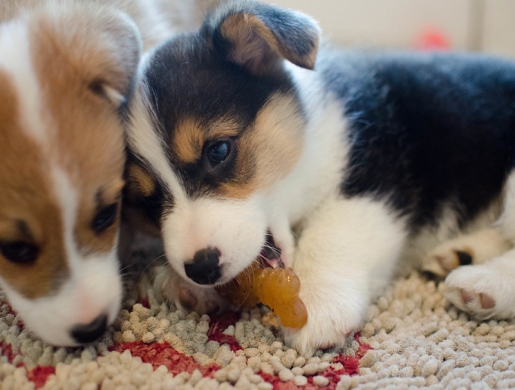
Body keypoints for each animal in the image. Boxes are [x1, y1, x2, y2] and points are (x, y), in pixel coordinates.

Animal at [126, 0, 515, 356]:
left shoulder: (374, 177)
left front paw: (316, 305)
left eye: (218, 150)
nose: (201, 269)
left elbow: (330, 233)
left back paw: (483, 283)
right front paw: (185, 287)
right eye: (146, 200)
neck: (309, 150)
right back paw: (460, 253)